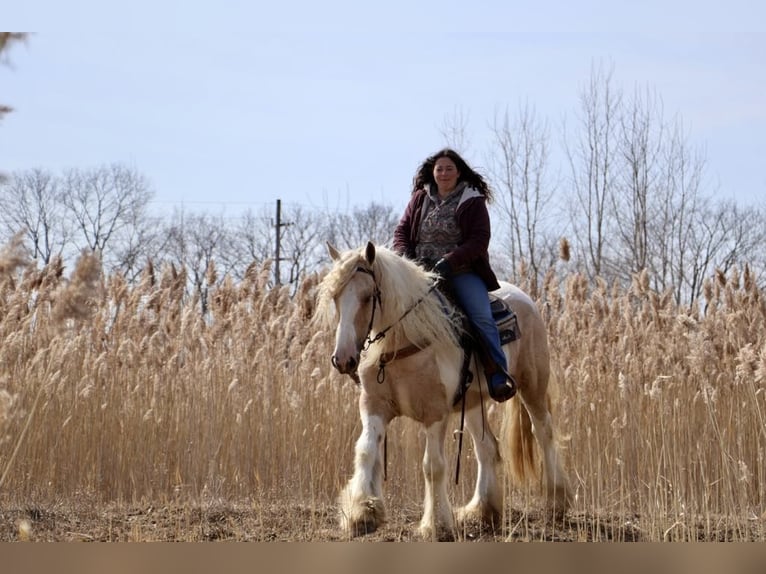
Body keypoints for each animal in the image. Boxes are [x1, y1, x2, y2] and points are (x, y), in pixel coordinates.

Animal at [314, 241, 571, 540]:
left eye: (368, 297)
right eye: (335, 297)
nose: (342, 360)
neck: (404, 342)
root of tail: (526, 300)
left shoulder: (435, 413)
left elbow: (433, 466)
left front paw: (436, 524)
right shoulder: (373, 406)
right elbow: (366, 450)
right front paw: (362, 513)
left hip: (532, 387)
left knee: (544, 434)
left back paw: (557, 502)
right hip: (473, 404)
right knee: (488, 448)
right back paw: (482, 511)